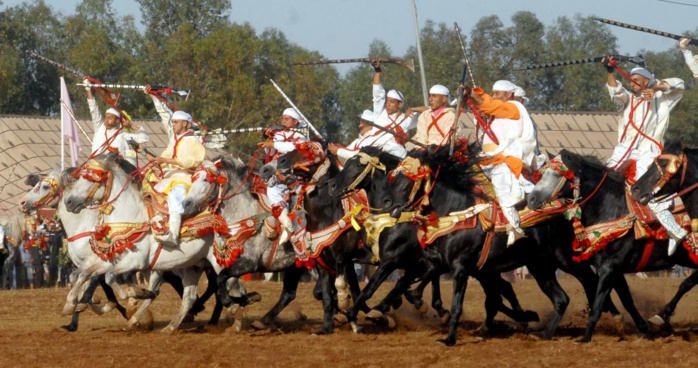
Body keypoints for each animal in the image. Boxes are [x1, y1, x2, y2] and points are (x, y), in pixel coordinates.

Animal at [524, 149, 692, 342]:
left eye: (558, 174)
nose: (531, 199)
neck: (611, 209)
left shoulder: (609, 267)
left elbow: (598, 304)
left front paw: (585, 338)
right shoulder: (613, 270)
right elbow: (626, 300)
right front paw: (643, 330)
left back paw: (662, 315)